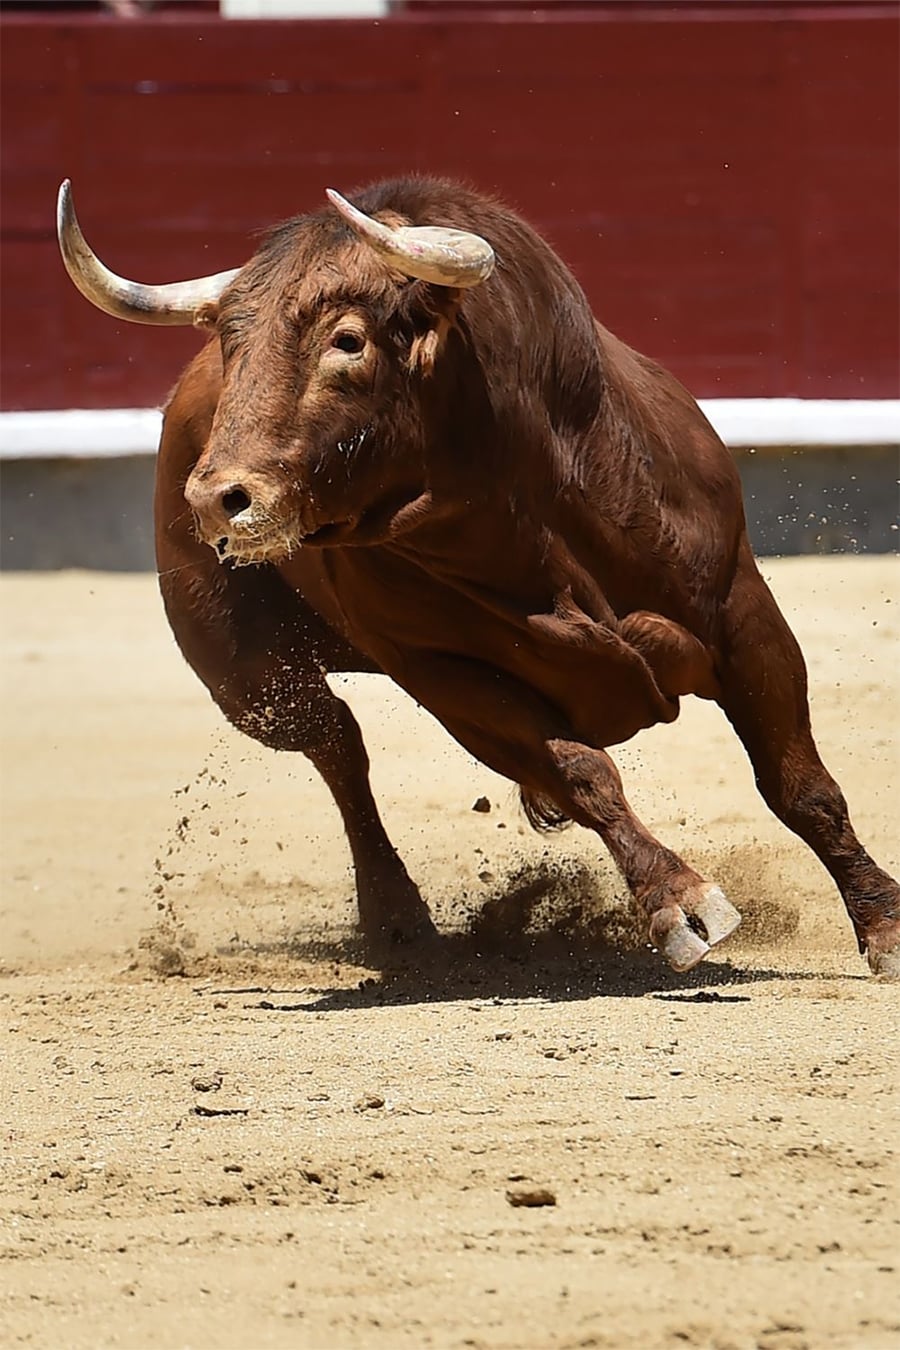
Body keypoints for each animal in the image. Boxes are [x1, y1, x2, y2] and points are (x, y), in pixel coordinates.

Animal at [57, 175, 898, 976]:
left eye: (348, 340)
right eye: (232, 345)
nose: (215, 499)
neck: (517, 508)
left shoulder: (740, 610)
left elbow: (799, 784)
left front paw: (883, 925)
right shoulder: (446, 677)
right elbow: (583, 771)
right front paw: (679, 903)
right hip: (252, 684)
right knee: (337, 746)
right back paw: (399, 921)